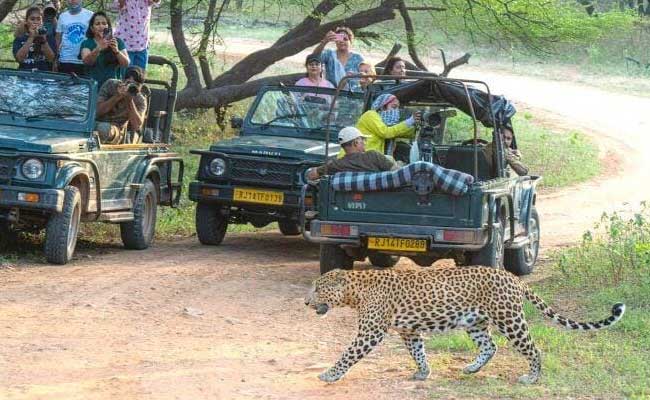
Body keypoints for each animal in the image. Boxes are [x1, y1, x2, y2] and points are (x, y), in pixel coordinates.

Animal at [304, 267, 625, 384]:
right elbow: (418, 352)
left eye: (318, 289)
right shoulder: (409, 330)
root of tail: (514, 278)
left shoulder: (370, 332)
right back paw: (472, 368)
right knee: (490, 346)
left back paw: (531, 378)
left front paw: (329, 374)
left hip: (509, 319)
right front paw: (423, 373)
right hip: (476, 322)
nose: (306, 302)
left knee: (533, 349)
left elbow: (347, 354)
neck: (355, 292)